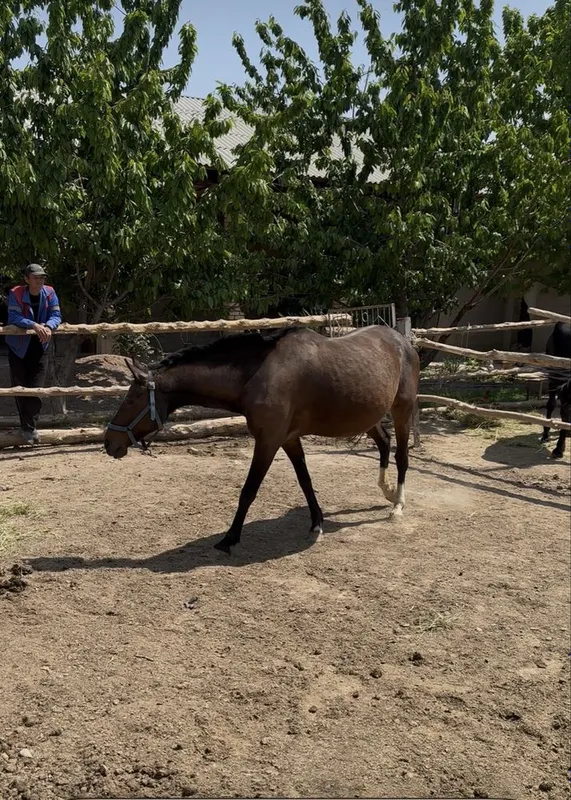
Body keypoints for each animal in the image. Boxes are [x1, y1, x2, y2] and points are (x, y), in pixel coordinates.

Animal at [104, 325, 420, 553]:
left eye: (131, 399)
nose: (109, 442)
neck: (258, 375)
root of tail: (403, 341)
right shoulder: (288, 439)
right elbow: (305, 481)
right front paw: (316, 523)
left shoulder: (268, 441)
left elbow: (248, 490)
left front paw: (229, 539)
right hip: (368, 416)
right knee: (384, 442)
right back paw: (387, 491)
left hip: (402, 410)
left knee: (401, 455)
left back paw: (397, 506)